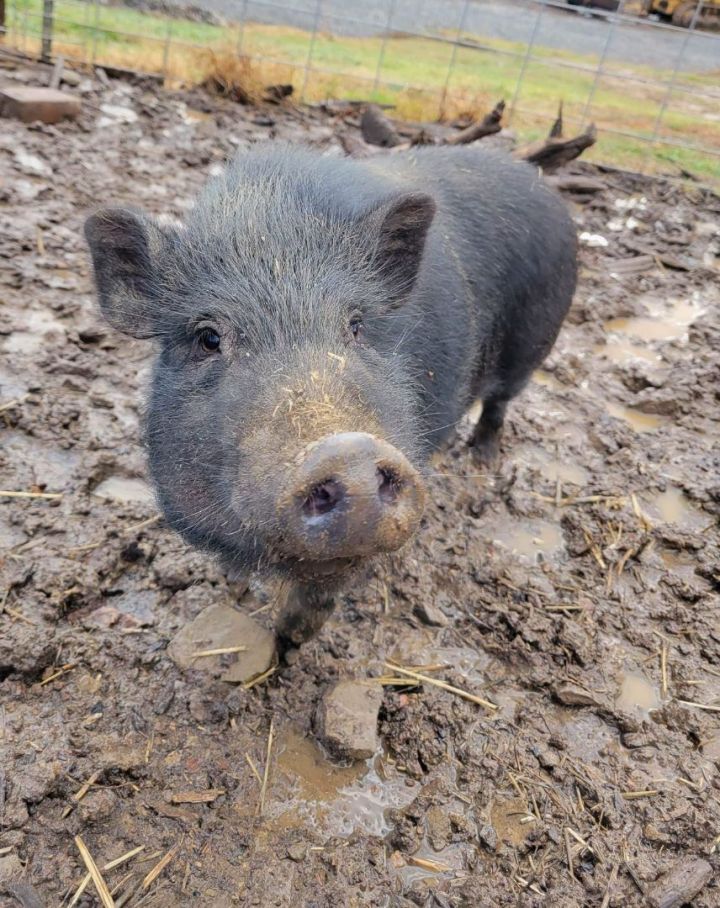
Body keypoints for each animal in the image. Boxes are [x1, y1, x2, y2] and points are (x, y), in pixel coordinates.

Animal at [84, 144, 576, 644]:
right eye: (208, 338)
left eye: (357, 326)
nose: (349, 452)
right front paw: (236, 587)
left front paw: (289, 640)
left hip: (533, 342)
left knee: (500, 401)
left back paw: (481, 459)